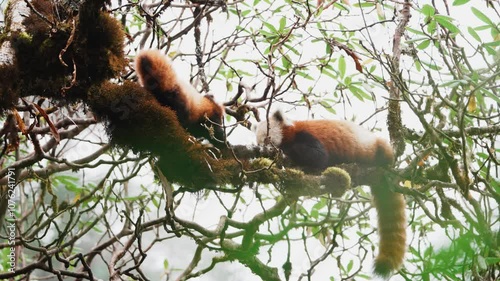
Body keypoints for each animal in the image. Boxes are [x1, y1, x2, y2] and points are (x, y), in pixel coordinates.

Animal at [254, 110, 406, 278]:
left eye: (267, 138)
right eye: (259, 141)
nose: (261, 148)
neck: (291, 132)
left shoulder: (306, 136)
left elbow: (318, 156)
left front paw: (284, 152)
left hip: (377, 146)